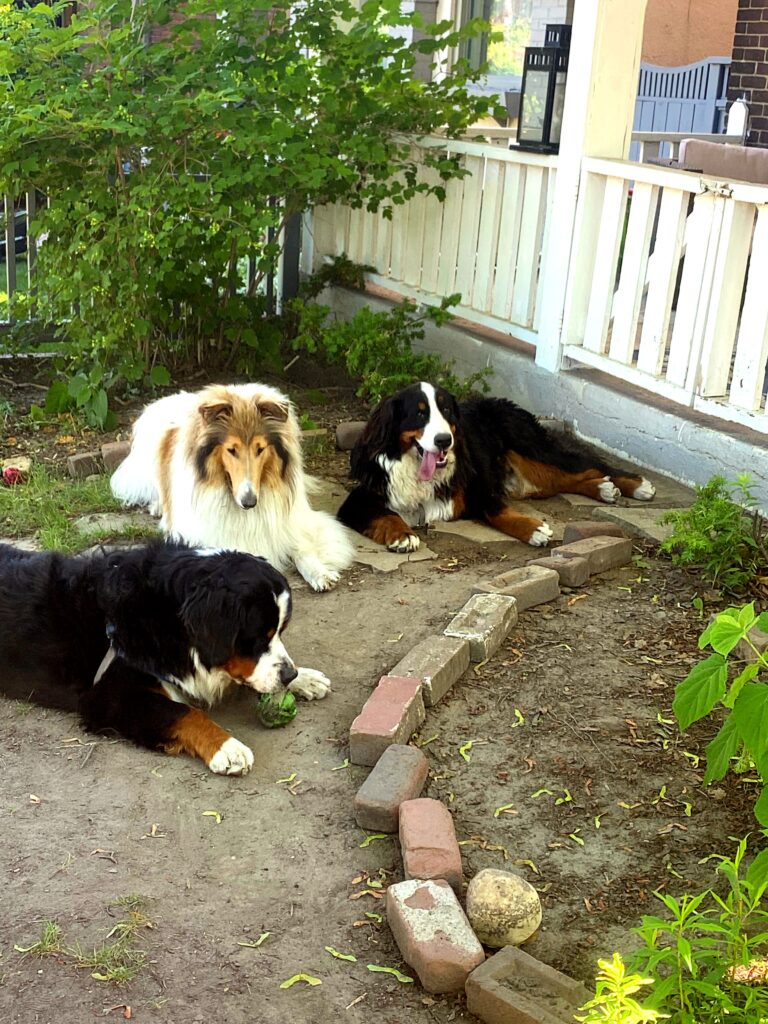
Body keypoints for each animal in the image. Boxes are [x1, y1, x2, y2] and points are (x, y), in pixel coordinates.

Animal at [0, 540, 331, 770]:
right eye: (258, 637)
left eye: (280, 631)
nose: (289, 674)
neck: (166, 615)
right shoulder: (109, 697)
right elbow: (182, 712)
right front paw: (227, 747)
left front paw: (305, 678)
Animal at [109, 385, 354, 593]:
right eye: (231, 449)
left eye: (260, 449)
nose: (249, 502)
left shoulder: (293, 523)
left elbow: (303, 550)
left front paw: (321, 574)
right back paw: (158, 506)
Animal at [339, 380, 659, 548]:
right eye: (419, 414)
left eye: (446, 411)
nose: (444, 441)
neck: (417, 470)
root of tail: (506, 403)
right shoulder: (360, 499)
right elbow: (384, 515)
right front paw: (402, 534)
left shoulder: (478, 489)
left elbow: (497, 511)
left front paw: (533, 528)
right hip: (532, 478)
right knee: (567, 479)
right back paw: (603, 489)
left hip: (533, 450)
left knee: (589, 464)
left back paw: (634, 485)